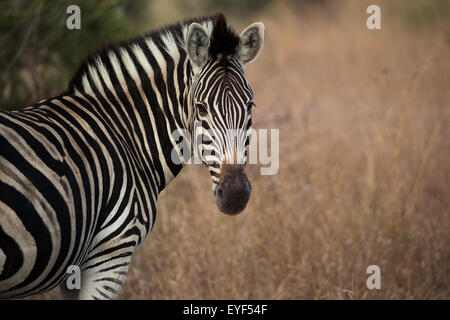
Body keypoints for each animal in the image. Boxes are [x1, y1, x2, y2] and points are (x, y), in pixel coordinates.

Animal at [0, 11, 264, 298]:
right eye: (201, 107)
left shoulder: (74, 271)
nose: (236, 195)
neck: (126, 132)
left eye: (250, 105)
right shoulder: (112, 253)